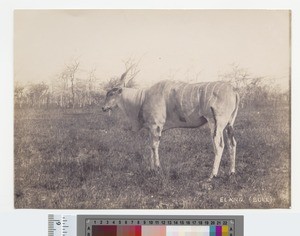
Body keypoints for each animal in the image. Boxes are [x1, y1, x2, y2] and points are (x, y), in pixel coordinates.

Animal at [102, 70, 239, 181]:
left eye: (111, 94)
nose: (103, 108)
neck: (143, 97)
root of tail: (233, 89)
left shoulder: (156, 126)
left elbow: (154, 146)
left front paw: (157, 169)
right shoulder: (151, 128)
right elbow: (150, 146)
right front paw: (151, 169)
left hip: (216, 124)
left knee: (219, 146)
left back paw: (212, 175)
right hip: (229, 124)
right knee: (232, 143)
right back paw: (231, 172)